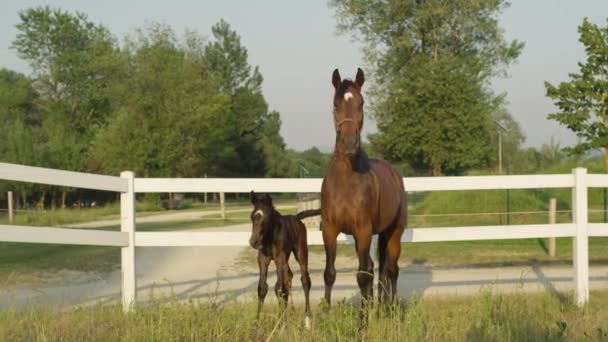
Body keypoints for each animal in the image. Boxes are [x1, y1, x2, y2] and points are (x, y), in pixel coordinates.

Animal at [249, 190, 320, 328]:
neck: (271, 236)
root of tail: (296, 217)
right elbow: (263, 288)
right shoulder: (263, 259)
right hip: (286, 260)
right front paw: (256, 324)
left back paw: (307, 319)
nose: (253, 242)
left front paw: (281, 324)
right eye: (252, 217)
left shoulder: (280, 258)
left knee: (305, 280)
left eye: (266, 219)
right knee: (289, 278)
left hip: (301, 253)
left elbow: (280, 289)